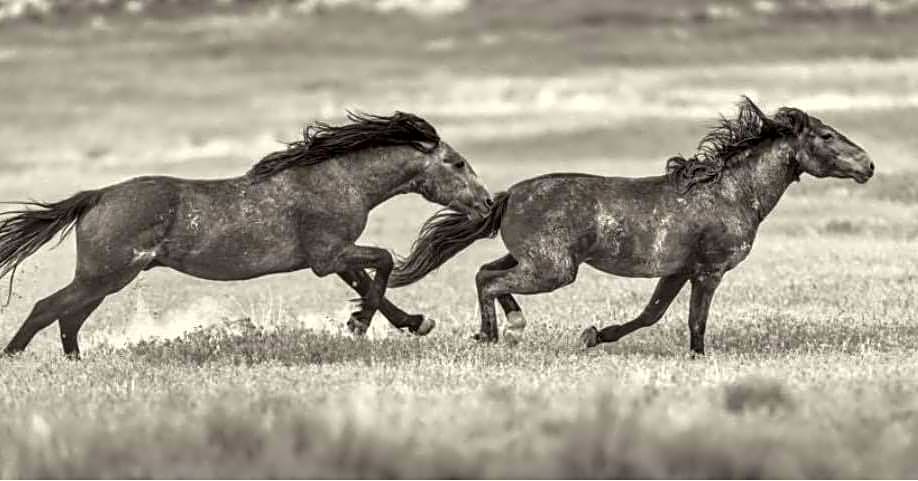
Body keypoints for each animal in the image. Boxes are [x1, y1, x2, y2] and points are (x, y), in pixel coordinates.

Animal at [0, 111, 493, 357]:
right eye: (456, 163)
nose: (488, 203)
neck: (339, 179)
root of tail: (97, 195)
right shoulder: (329, 255)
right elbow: (385, 263)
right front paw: (358, 324)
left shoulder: (331, 257)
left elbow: (370, 282)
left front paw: (411, 322)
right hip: (104, 276)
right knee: (48, 309)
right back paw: (13, 356)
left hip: (106, 280)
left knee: (68, 318)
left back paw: (73, 360)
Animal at [389, 97, 874, 354]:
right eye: (827, 136)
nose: (868, 165)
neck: (731, 192)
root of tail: (508, 196)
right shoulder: (709, 271)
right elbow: (696, 319)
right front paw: (698, 357)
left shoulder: (678, 270)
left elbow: (650, 314)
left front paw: (595, 335)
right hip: (553, 270)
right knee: (490, 281)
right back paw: (496, 332)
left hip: (531, 261)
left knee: (484, 273)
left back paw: (505, 326)